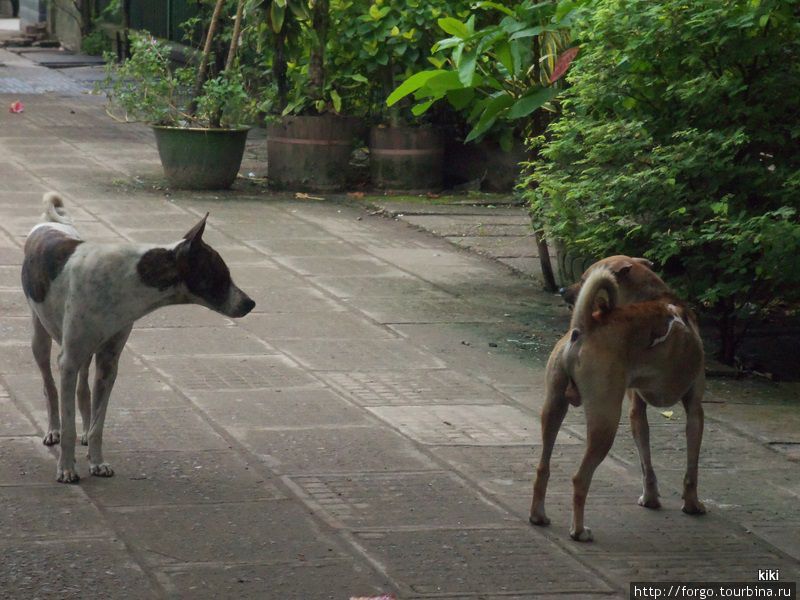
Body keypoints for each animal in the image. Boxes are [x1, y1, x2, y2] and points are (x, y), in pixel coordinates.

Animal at [21, 192, 255, 482]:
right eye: (221, 275)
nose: (250, 303)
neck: (129, 280)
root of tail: (48, 223)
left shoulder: (108, 364)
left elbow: (98, 423)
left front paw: (97, 461)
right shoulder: (69, 361)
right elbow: (68, 427)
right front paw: (66, 467)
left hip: (86, 354)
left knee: (83, 390)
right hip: (41, 342)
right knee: (49, 386)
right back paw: (53, 429)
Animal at [532, 255, 708, 540]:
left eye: (583, 278)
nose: (561, 289)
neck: (657, 296)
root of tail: (583, 327)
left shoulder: (637, 410)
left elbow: (646, 462)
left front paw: (650, 498)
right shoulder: (695, 409)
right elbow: (692, 468)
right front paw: (692, 504)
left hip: (553, 407)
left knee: (543, 467)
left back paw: (538, 515)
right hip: (605, 420)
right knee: (580, 478)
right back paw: (579, 530)